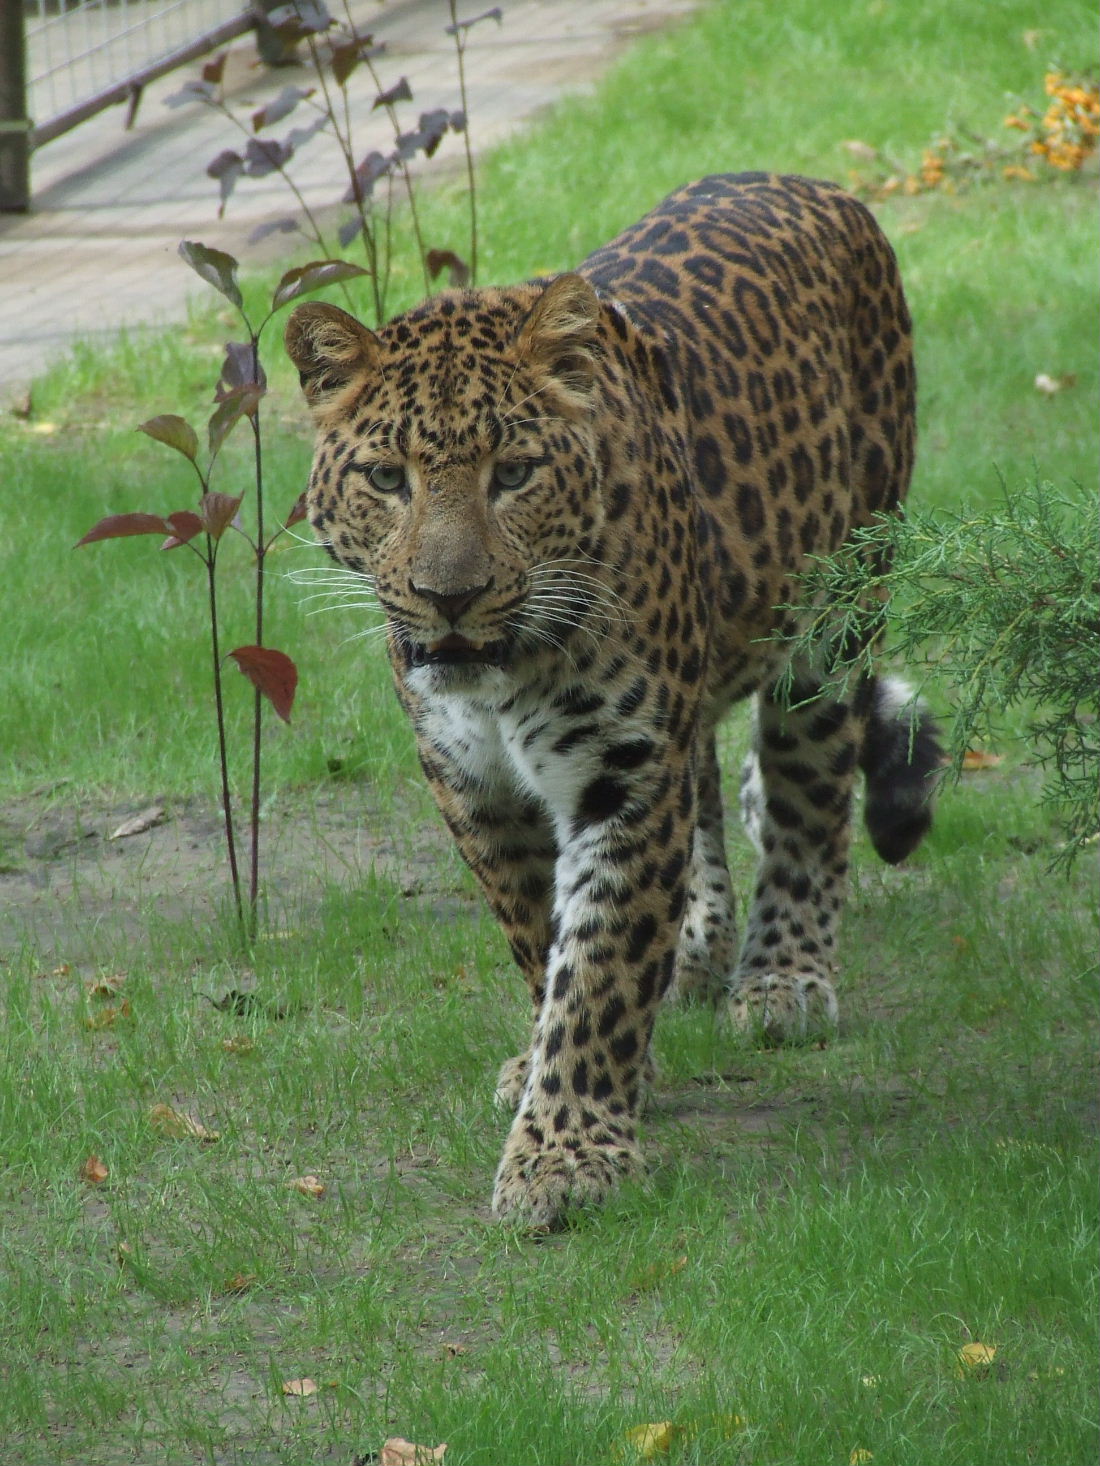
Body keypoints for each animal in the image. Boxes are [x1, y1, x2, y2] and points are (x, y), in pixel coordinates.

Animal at [285, 172, 942, 1228]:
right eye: (388, 478)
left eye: (514, 473)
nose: (449, 596)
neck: (502, 681)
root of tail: (814, 185)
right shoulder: (472, 783)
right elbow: (539, 935)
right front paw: (559, 1066)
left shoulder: (624, 769)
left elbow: (597, 965)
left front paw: (565, 1154)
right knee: (709, 775)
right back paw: (698, 949)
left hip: (836, 611)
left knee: (807, 787)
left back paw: (784, 974)